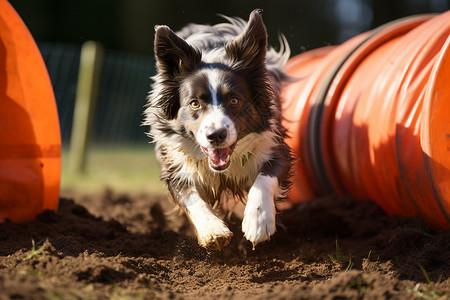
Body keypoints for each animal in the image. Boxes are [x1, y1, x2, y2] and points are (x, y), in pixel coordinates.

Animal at [143, 9, 292, 250]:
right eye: (194, 103)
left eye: (234, 100)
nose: (216, 136)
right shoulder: (174, 164)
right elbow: (190, 195)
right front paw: (212, 230)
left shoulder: (274, 145)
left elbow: (266, 177)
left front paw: (258, 221)